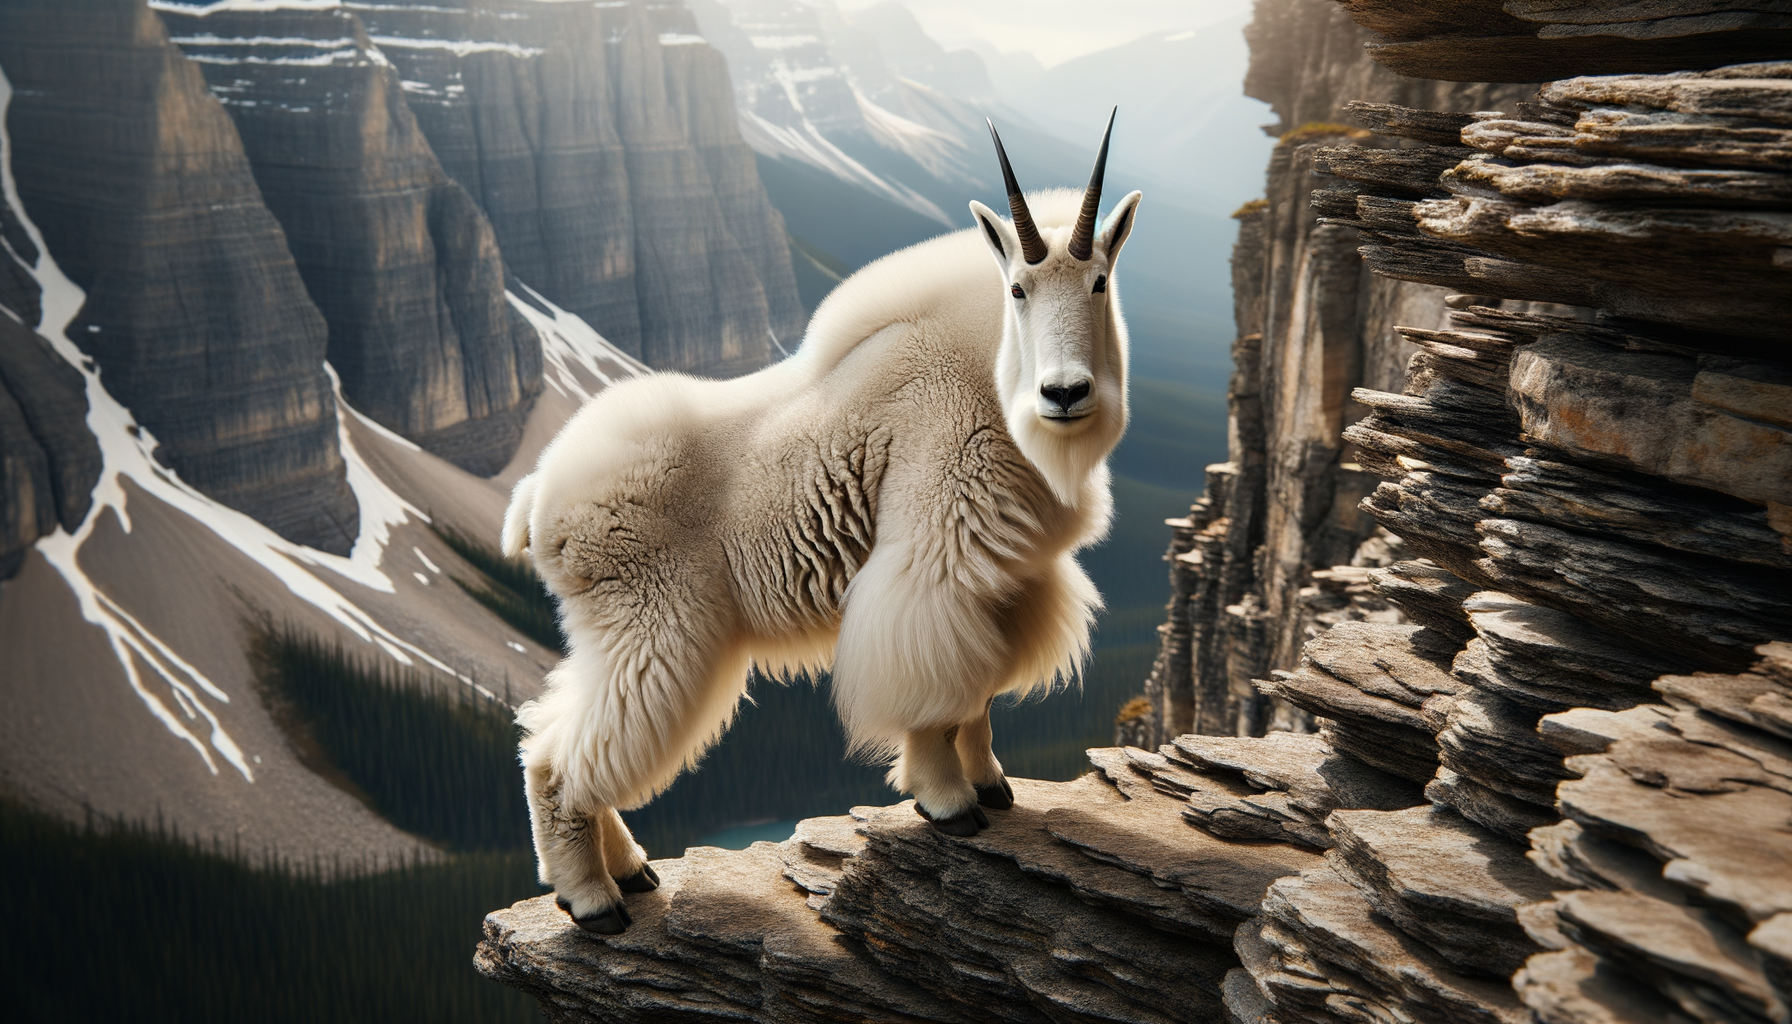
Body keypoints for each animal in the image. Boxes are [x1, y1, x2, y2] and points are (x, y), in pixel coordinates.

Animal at [503, 113, 1140, 934]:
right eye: (1018, 288)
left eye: (1100, 281)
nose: (1064, 394)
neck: (990, 376)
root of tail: (537, 501)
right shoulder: (932, 555)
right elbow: (934, 690)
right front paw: (948, 802)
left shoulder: (1007, 575)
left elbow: (979, 692)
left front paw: (994, 786)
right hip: (655, 622)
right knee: (561, 756)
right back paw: (592, 900)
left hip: (612, 632)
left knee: (557, 729)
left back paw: (633, 871)